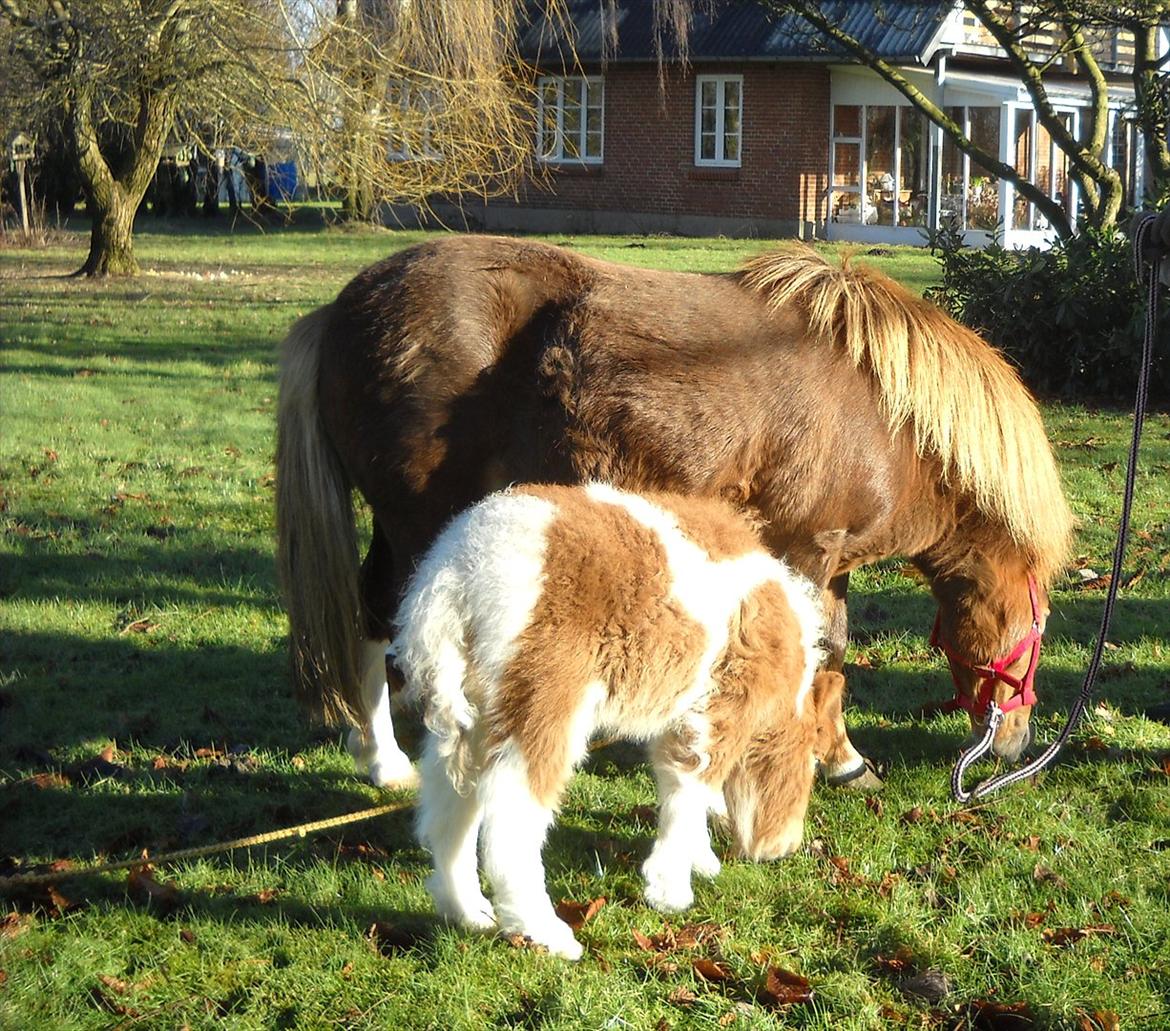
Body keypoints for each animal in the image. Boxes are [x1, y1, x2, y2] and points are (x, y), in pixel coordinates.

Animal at [273, 235, 1071, 786]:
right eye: (1034, 628)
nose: (1015, 745)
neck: (884, 414)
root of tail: (342, 309)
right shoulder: (809, 552)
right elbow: (820, 651)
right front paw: (827, 758)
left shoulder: (826, 560)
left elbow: (825, 652)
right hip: (416, 524)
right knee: (396, 625)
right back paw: (401, 763)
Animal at [393, 482, 842, 959]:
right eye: (815, 758)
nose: (784, 849)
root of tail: (455, 574)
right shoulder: (721, 711)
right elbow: (691, 789)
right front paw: (670, 890)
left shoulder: (681, 718)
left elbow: (679, 784)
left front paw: (700, 861)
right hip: (543, 703)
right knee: (510, 818)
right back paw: (546, 932)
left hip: (471, 712)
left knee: (447, 807)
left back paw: (466, 911)